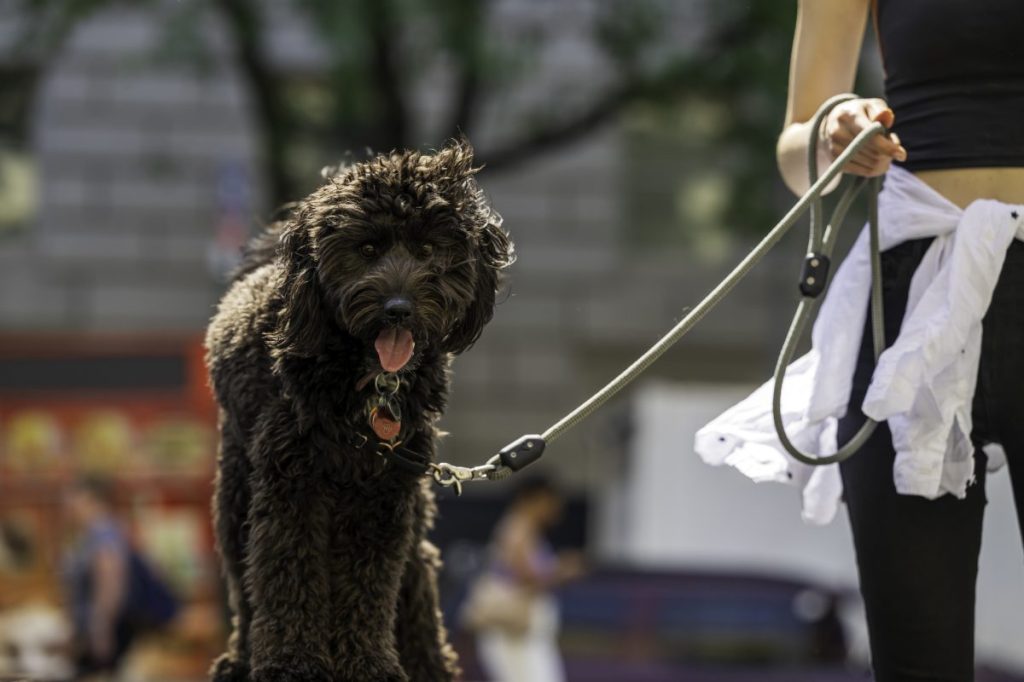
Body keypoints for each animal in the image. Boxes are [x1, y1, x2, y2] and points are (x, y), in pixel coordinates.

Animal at [205, 139, 512, 679]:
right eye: (367, 250)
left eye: (427, 250)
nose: (398, 309)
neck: (365, 381)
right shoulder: (292, 485)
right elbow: (288, 572)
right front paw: (292, 663)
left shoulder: (383, 495)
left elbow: (368, 586)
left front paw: (368, 663)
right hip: (237, 495)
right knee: (245, 584)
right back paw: (240, 659)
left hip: (412, 518)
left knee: (413, 586)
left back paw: (431, 666)